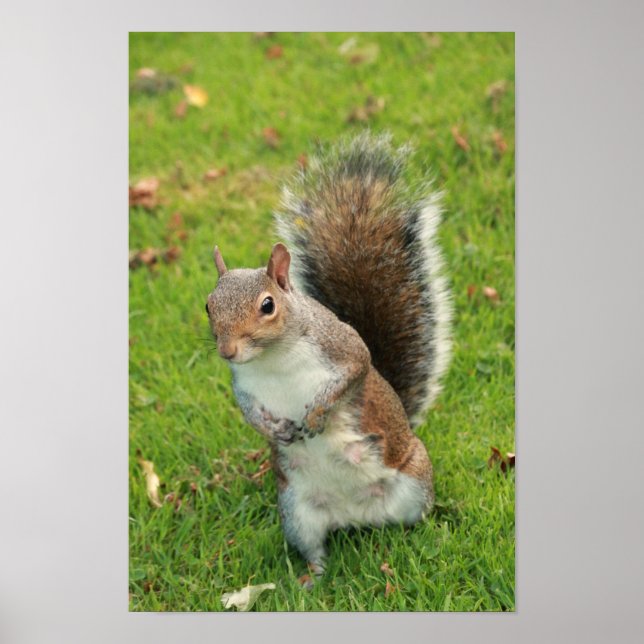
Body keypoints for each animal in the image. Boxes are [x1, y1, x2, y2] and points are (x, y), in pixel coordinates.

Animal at [206, 133, 451, 577]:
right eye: (207, 306)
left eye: (267, 305)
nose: (227, 350)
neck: (273, 360)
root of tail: (358, 515)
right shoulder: (243, 384)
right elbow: (248, 410)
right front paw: (273, 430)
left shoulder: (343, 349)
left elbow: (353, 370)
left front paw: (317, 414)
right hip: (296, 513)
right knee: (314, 549)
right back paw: (312, 577)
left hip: (414, 477)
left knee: (415, 518)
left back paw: (422, 538)